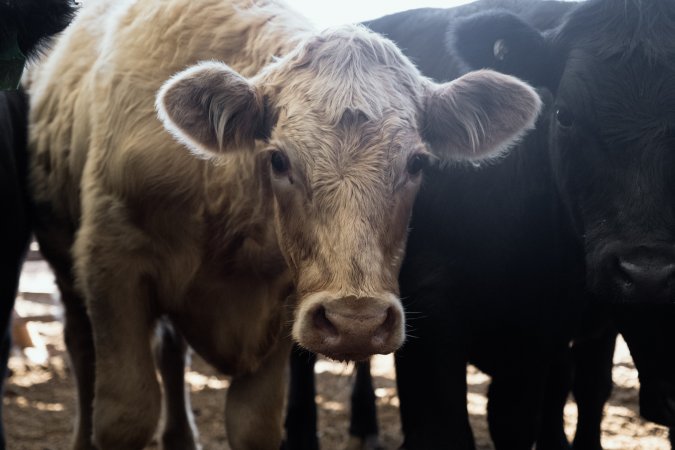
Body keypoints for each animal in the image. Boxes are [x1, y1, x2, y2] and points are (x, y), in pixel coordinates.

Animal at [25, 0, 544, 446]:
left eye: (417, 163)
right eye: (278, 159)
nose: (356, 321)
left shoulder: (278, 307)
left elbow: (254, 422)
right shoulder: (112, 266)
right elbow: (125, 413)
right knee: (81, 348)